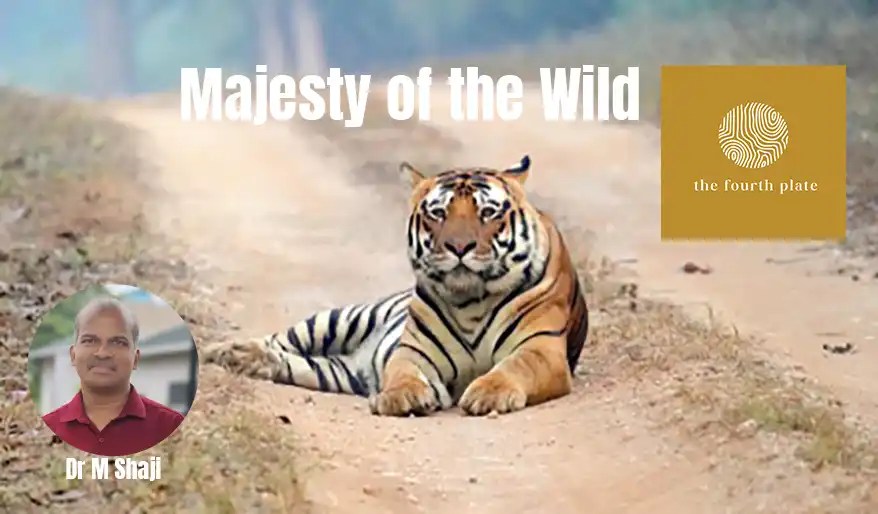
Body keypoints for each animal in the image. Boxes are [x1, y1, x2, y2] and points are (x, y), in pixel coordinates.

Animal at [202, 155, 589, 416]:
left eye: (488, 213)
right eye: (438, 213)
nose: (459, 247)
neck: (470, 302)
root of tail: (354, 360)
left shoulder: (541, 348)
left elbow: (514, 366)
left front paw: (488, 394)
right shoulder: (414, 350)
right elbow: (403, 371)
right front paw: (402, 396)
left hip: (335, 372)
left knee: (291, 361)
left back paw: (246, 361)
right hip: (337, 319)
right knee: (280, 339)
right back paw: (223, 352)